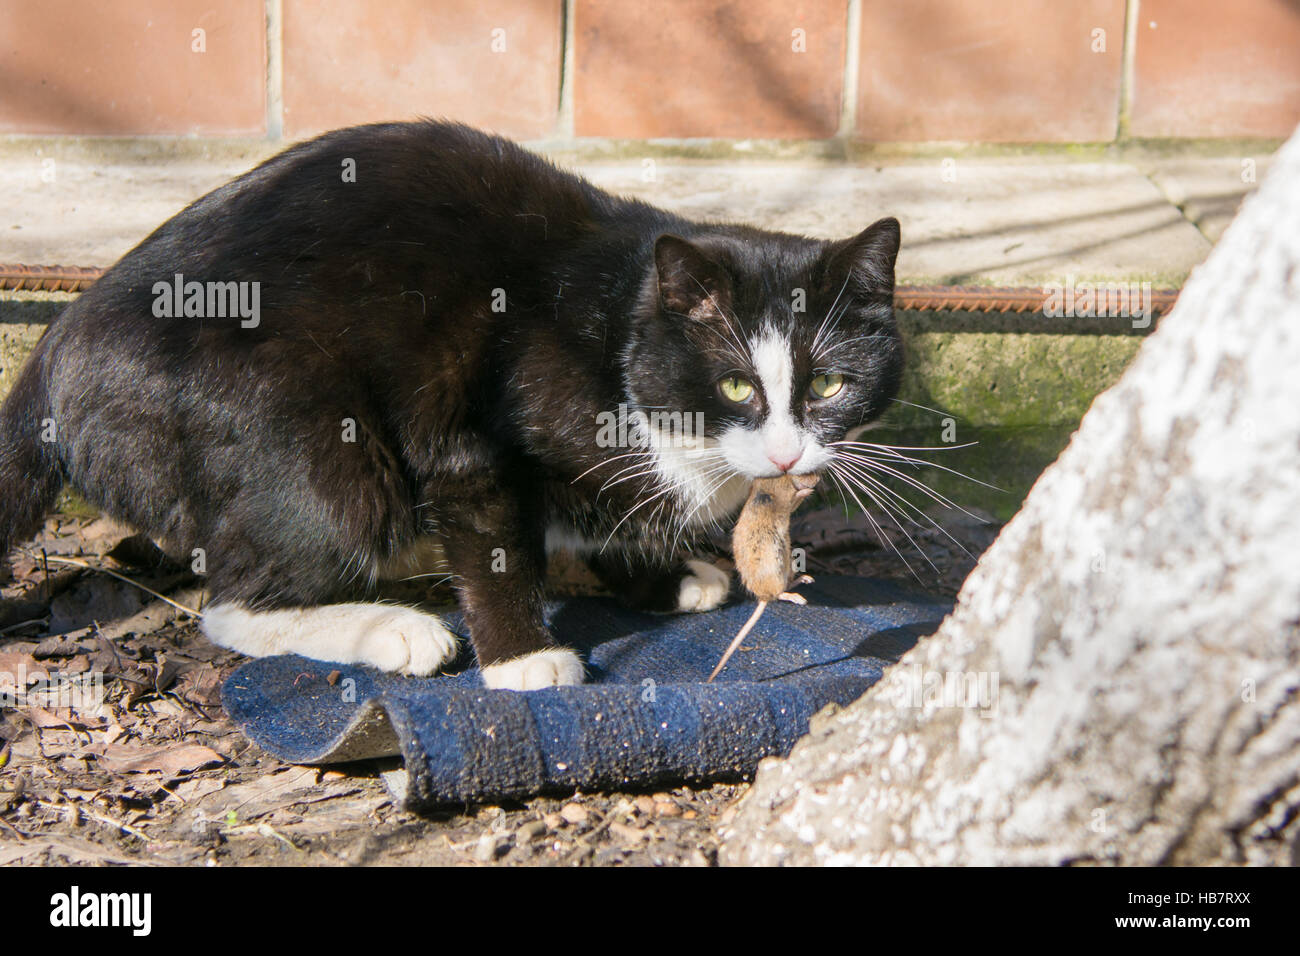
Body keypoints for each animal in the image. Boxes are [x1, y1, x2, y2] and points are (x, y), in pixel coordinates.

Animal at [0, 121, 904, 686]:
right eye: (735, 386)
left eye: (827, 385)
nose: (787, 454)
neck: (619, 326)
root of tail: (54, 352)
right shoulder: (468, 434)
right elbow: (495, 538)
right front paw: (521, 659)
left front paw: (662, 575)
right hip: (307, 431)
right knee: (231, 604)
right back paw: (392, 628)